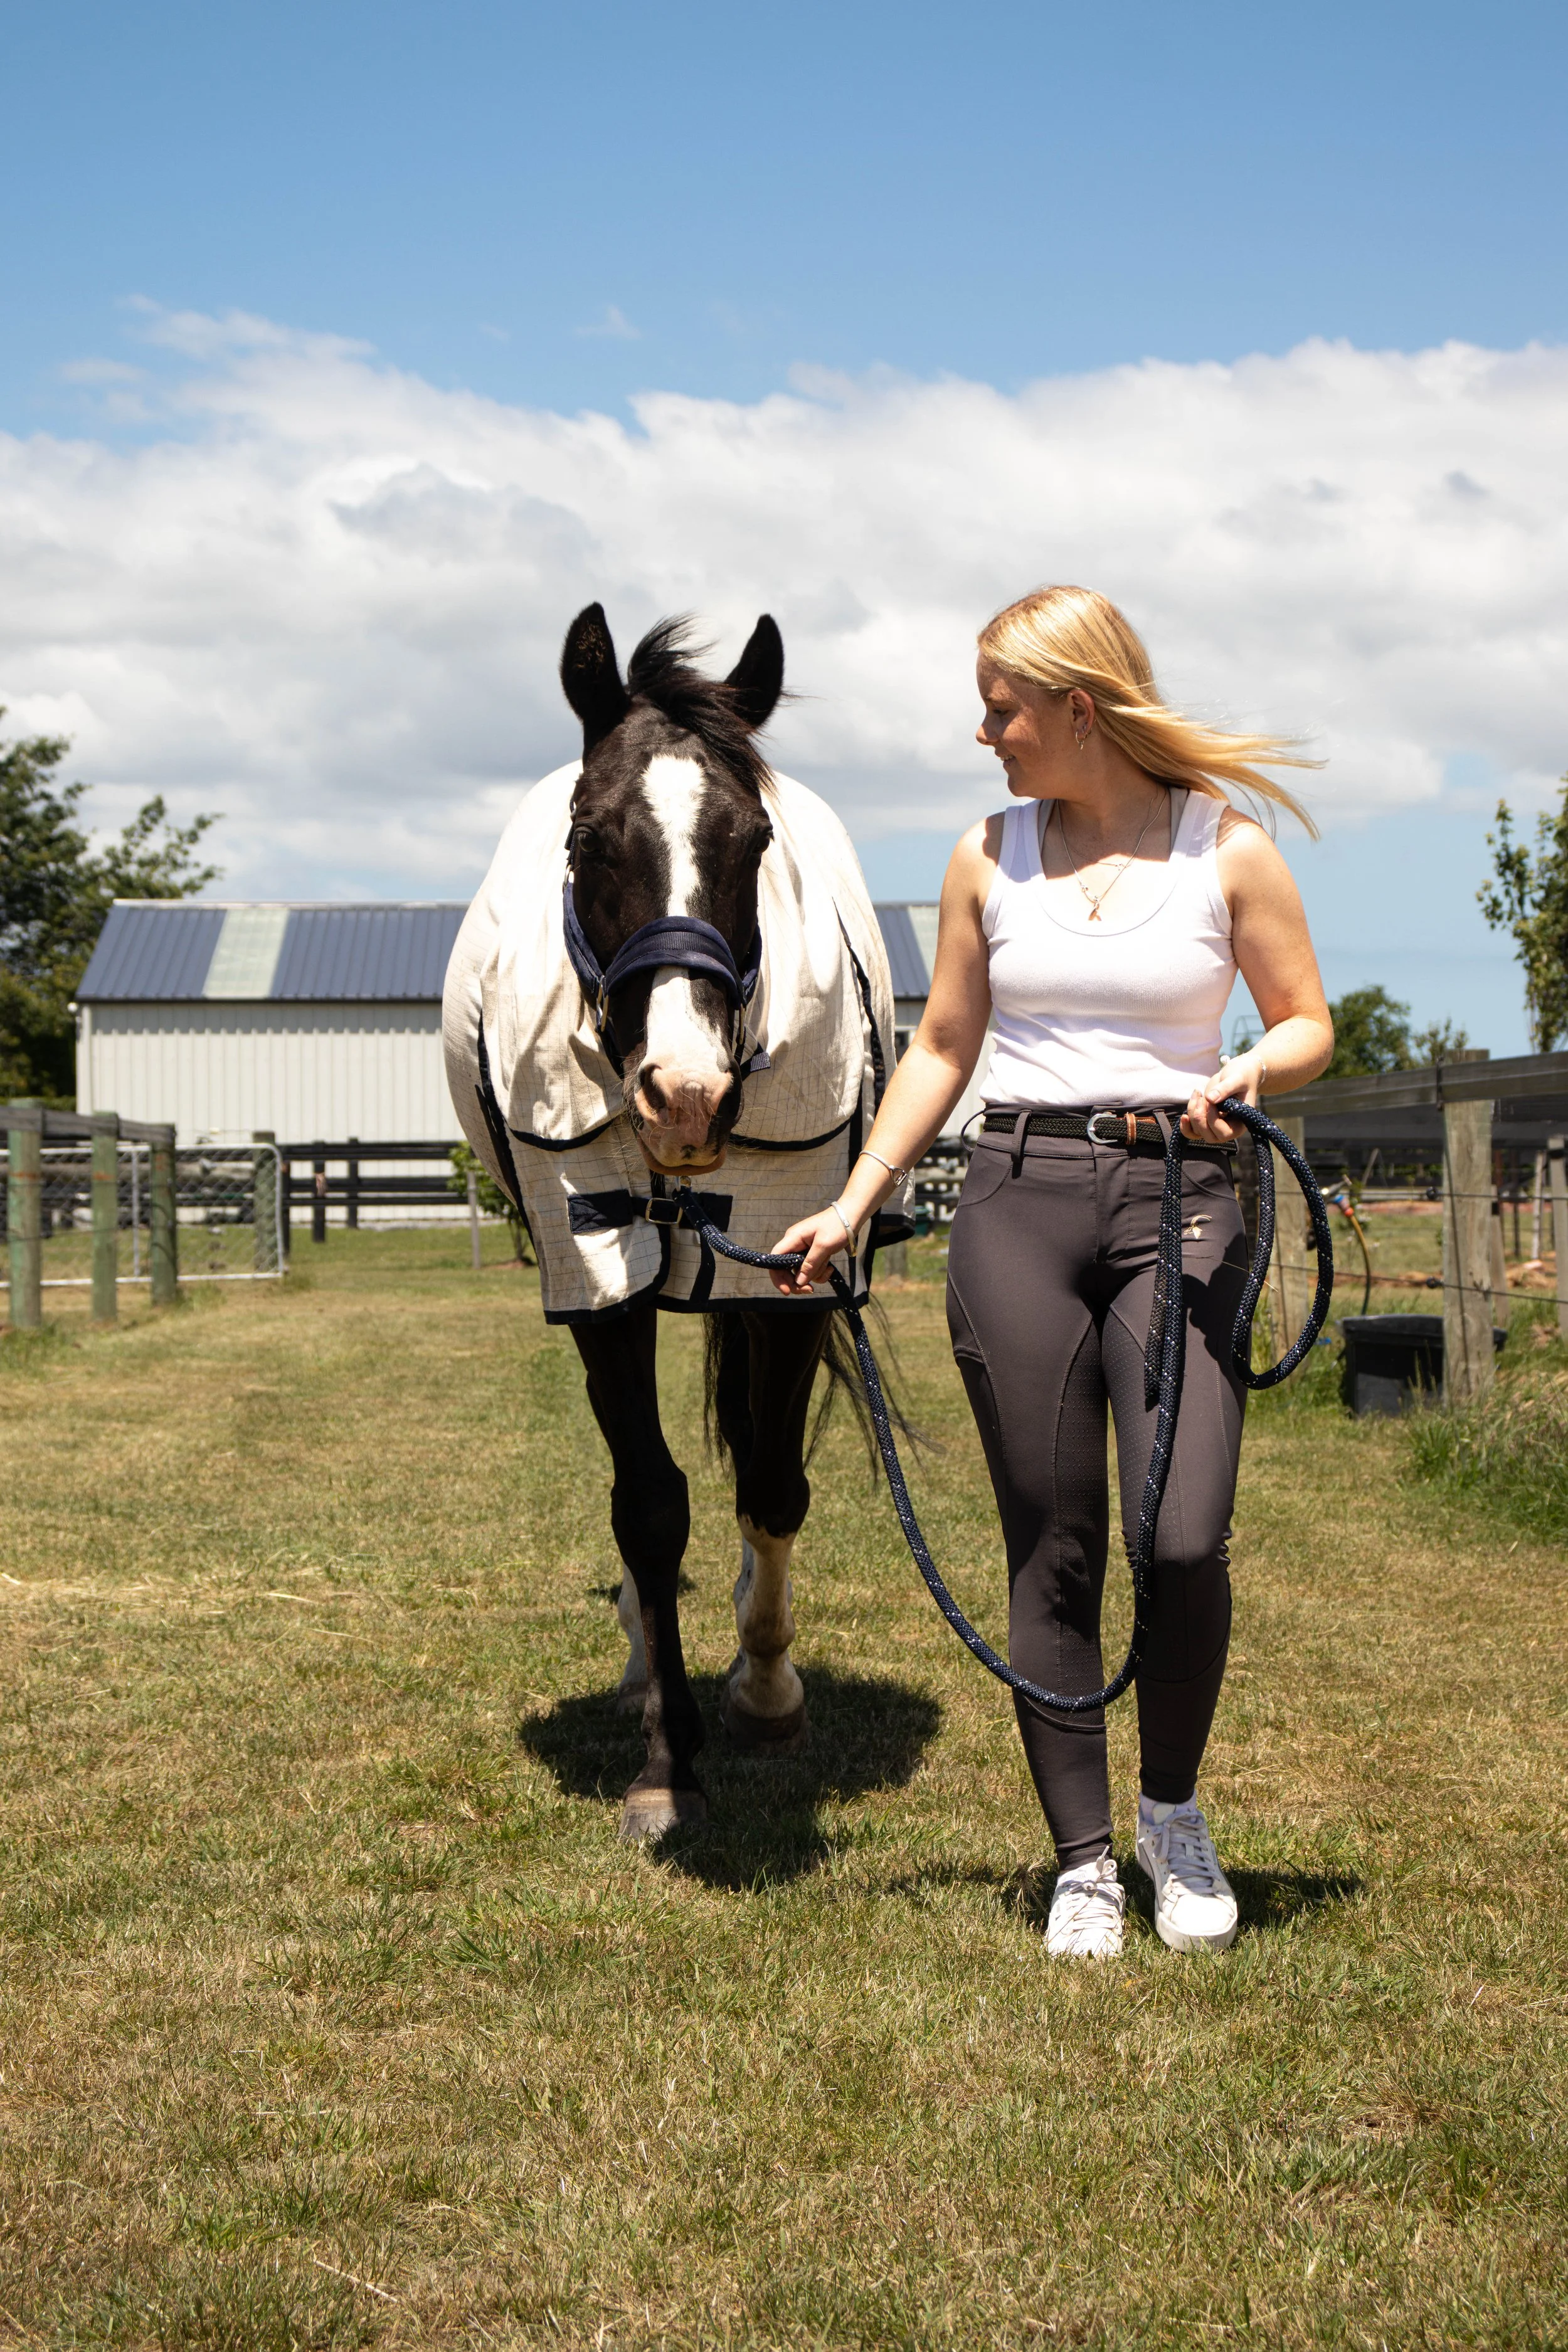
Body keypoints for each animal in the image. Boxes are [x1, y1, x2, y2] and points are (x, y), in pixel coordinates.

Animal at [444, 605, 910, 1839]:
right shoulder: (599, 1276)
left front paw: (766, 1691)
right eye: (589, 839)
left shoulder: (786, 1274)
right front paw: (668, 1758)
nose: (686, 1092)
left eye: (753, 840)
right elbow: (649, 1508)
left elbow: (772, 1482)